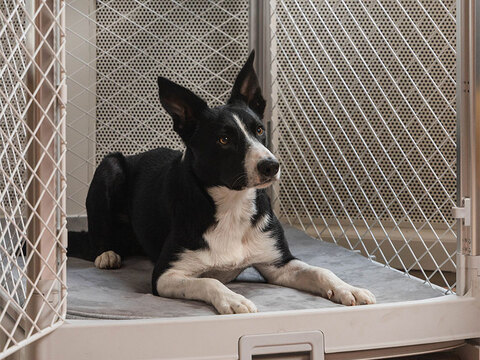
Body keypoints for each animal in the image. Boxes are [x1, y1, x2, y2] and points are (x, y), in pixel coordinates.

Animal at [68, 52, 376, 314]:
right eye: (224, 139)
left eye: (259, 130)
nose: (271, 165)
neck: (233, 205)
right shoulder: (166, 275)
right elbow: (209, 280)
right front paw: (233, 299)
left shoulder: (278, 263)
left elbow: (321, 271)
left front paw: (348, 288)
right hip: (110, 166)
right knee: (96, 237)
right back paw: (107, 254)